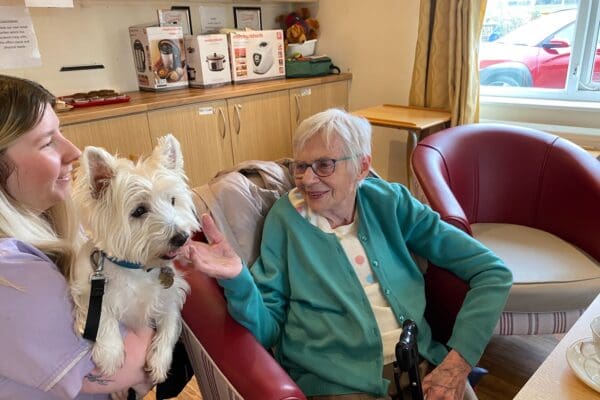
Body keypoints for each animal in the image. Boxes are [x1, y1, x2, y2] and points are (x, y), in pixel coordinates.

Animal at [70, 136, 197, 382]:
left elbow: (170, 322)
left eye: (172, 200)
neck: (138, 268)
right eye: (139, 210)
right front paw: (109, 355)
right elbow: (101, 315)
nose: (181, 237)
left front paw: (159, 362)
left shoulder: (170, 294)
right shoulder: (89, 288)